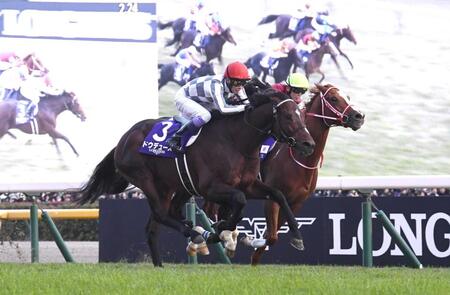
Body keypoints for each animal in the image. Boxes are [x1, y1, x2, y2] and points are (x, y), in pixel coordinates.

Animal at [77, 88, 314, 268]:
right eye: (289, 116)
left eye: (301, 115)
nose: (308, 144)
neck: (236, 141)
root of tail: (125, 137)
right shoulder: (211, 188)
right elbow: (239, 202)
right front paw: (220, 232)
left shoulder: (248, 184)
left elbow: (277, 195)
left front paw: (297, 237)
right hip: (145, 179)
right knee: (162, 214)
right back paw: (196, 234)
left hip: (173, 186)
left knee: (158, 222)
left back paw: (162, 263)